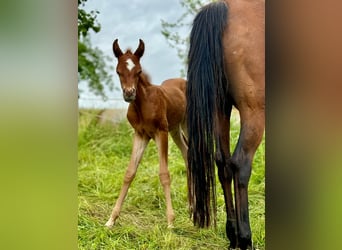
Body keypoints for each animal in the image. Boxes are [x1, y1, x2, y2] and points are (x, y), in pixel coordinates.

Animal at [105, 38, 188, 229]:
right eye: (118, 71)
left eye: (139, 71)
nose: (129, 93)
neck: (142, 105)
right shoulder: (140, 134)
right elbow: (129, 173)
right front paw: (111, 219)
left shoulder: (160, 132)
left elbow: (164, 174)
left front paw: (170, 222)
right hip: (176, 129)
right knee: (187, 153)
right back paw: (192, 205)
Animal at [187, 0, 264, 249]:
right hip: (254, 112)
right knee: (240, 163)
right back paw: (245, 239)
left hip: (220, 108)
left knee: (223, 163)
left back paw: (233, 235)